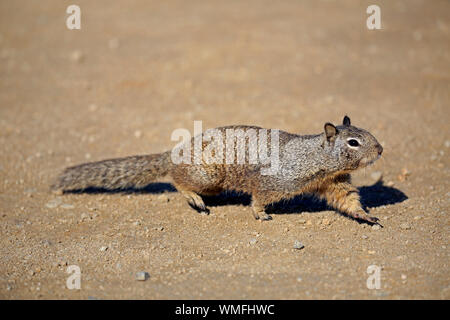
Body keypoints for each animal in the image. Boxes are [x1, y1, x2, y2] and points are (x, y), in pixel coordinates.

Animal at [52, 116, 384, 224]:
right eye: (354, 142)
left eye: (367, 133)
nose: (381, 150)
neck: (316, 158)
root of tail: (173, 153)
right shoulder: (276, 179)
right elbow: (260, 195)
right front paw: (260, 213)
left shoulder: (336, 182)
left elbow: (348, 200)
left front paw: (366, 216)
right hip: (207, 176)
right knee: (177, 180)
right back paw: (194, 199)